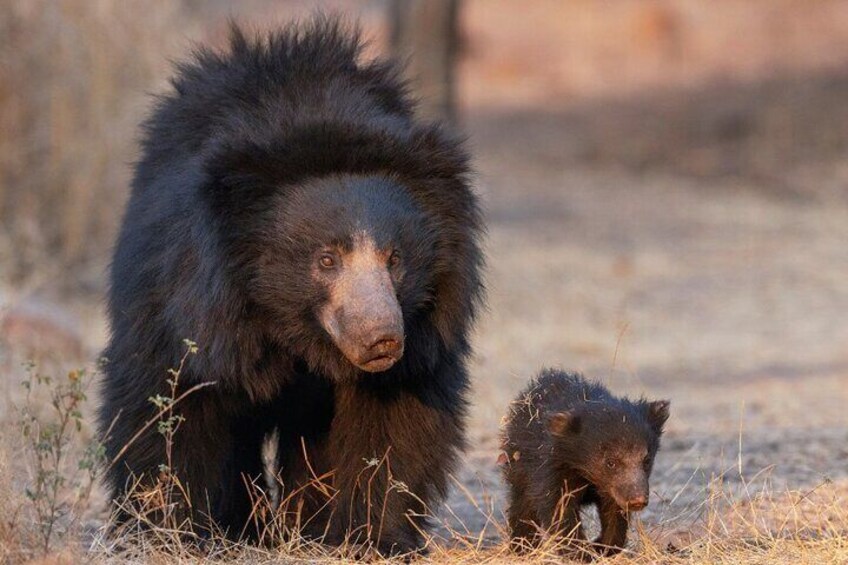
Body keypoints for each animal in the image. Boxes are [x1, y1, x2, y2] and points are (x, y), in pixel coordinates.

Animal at [97, 15, 484, 552]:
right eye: (326, 259)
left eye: (394, 259)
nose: (383, 339)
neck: (295, 332)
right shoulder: (186, 305)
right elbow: (172, 405)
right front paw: (171, 530)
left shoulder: (425, 337)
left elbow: (393, 424)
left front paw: (372, 535)